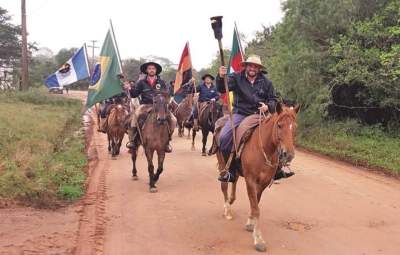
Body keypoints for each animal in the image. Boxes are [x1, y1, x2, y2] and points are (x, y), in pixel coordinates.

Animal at [217, 102, 298, 252]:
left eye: (294, 127)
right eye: (279, 125)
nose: (288, 155)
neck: (265, 148)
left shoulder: (263, 183)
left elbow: (256, 203)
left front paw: (250, 222)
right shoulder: (250, 180)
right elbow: (256, 208)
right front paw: (258, 239)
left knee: (234, 180)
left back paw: (231, 200)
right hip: (222, 162)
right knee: (224, 184)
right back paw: (227, 209)